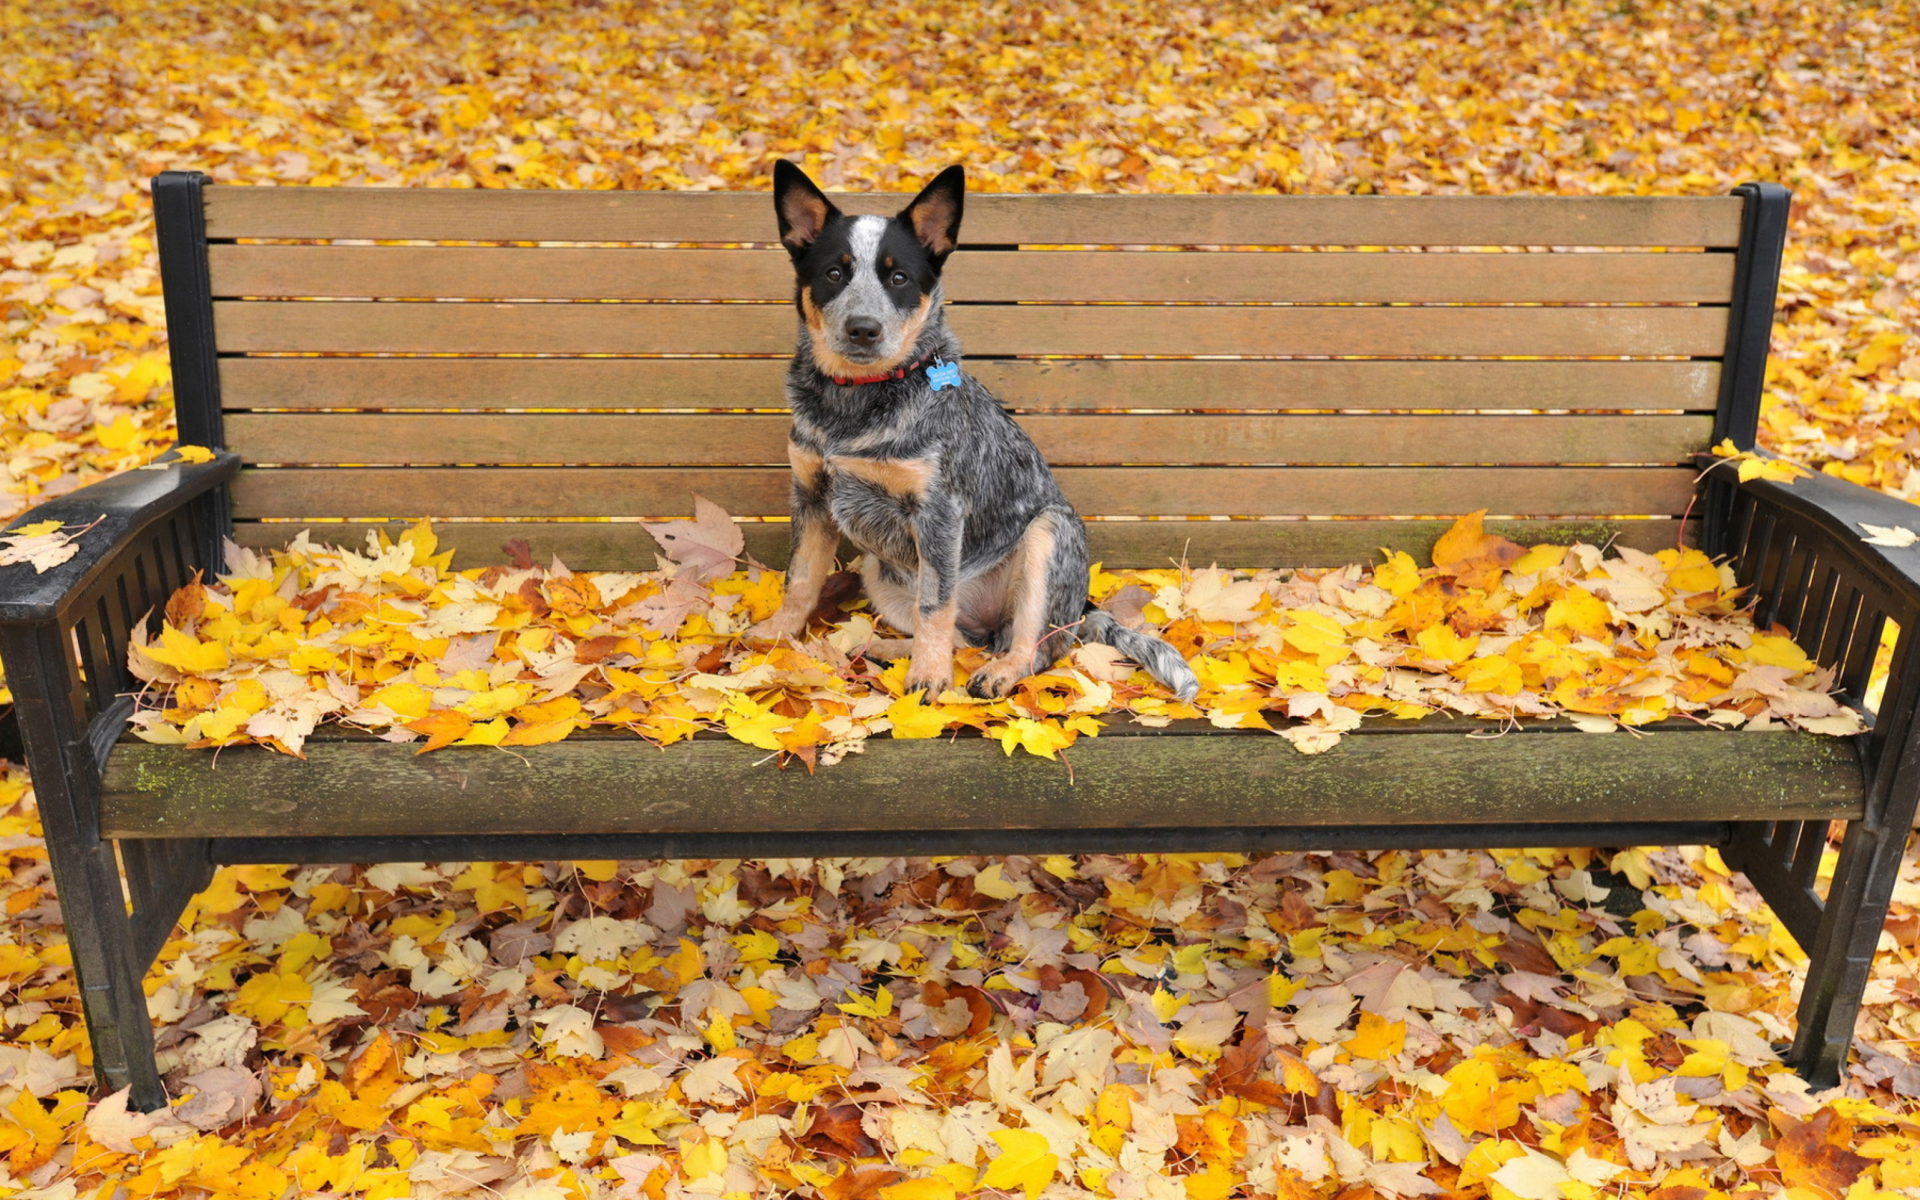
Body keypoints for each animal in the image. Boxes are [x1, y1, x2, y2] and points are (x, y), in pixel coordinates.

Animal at [741, 159, 1190, 702]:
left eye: (898, 277)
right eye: (834, 273)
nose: (863, 328)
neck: (854, 403)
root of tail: (1081, 607)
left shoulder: (939, 512)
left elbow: (934, 605)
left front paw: (930, 678)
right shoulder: (810, 495)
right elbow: (801, 578)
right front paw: (777, 634)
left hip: (1048, 535)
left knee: (1036, 647)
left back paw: (996, 670)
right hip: (879, 569)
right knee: (961, 636)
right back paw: (889, 649)